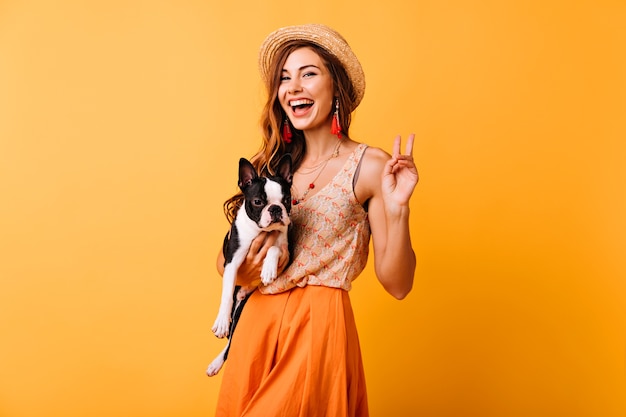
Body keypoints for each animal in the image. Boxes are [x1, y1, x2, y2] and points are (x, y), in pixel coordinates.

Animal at [205, 154, 292, 376]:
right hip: (237, 308)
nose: (276, 209)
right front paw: (221, 322)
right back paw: (216, 361)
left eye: (287, 200)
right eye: (258, 202)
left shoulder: (286, 253)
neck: (260, 231)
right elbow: (226, 293)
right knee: (231, 337)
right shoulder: (232, 261)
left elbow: (274, 249)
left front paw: (268, 269)